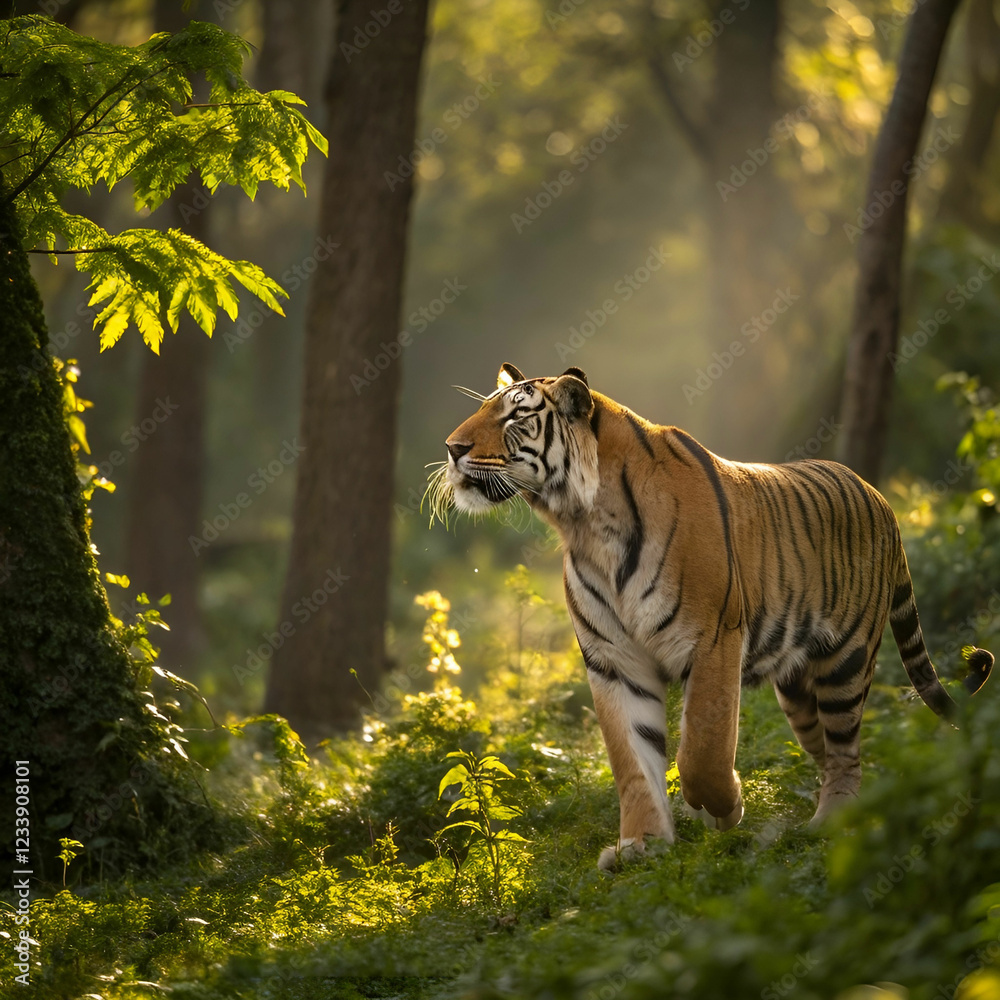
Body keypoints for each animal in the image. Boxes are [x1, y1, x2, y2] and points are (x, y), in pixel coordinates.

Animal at [427, 363, 994, 871]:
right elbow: (632, 761)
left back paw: (832, 822)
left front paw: (725, 809)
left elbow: (702, 749)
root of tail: (882, 499)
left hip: (846, 662)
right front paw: (642, 845)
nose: (452, 448)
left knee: (846, 749)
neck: (584, 522)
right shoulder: (613, 661)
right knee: (829, 749)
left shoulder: (713, 639)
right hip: (798, 690)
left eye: (515, 416)